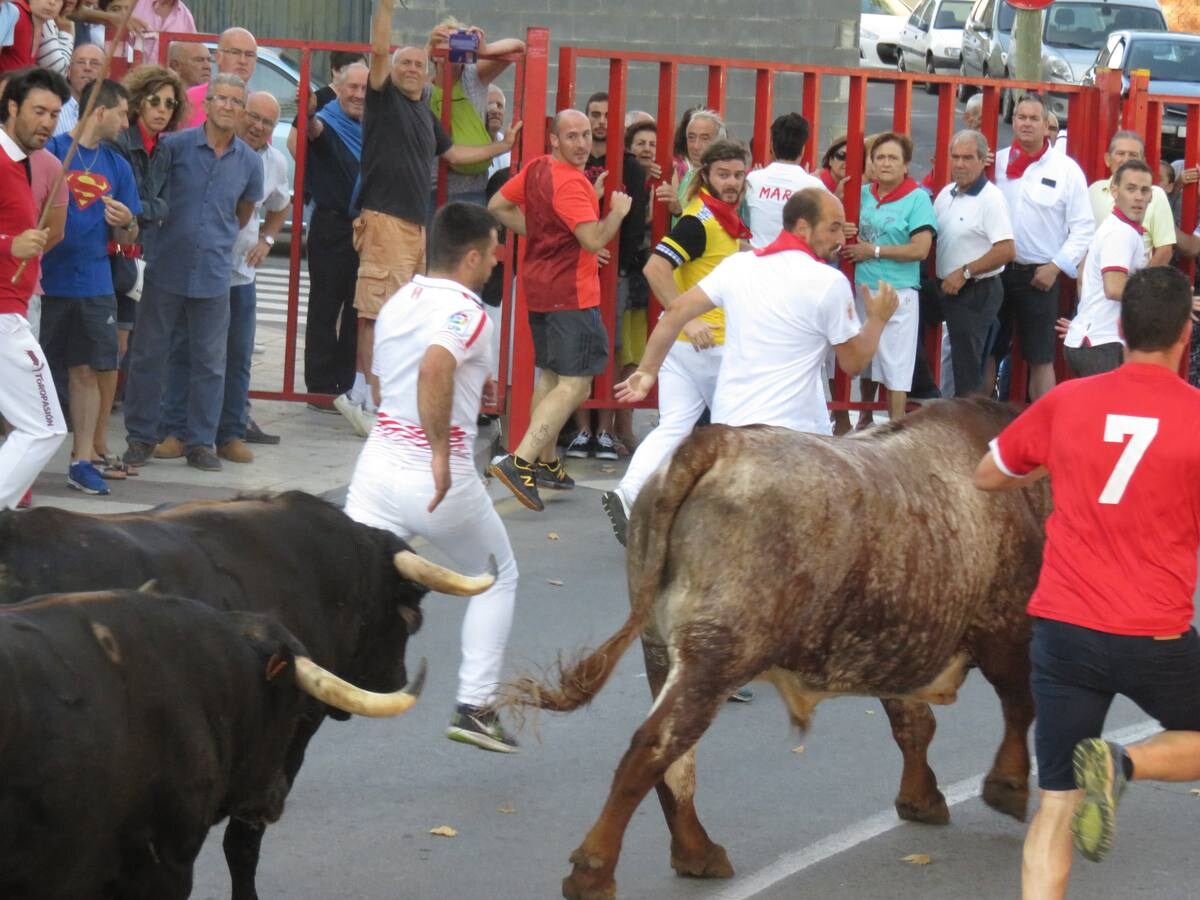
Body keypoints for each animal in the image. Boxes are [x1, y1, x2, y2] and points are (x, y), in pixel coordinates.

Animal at [501, 400, 1056, 900]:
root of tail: (718, 441)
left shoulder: (899, 641)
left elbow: (913, 725)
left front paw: (921, 799)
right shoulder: (1007, 630)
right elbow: (1019, 707)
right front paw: (1007, 786)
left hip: (662, 649)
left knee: (676, 763)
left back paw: (697, 854)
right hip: (716, 655)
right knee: (653, 748)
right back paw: (593, 873)